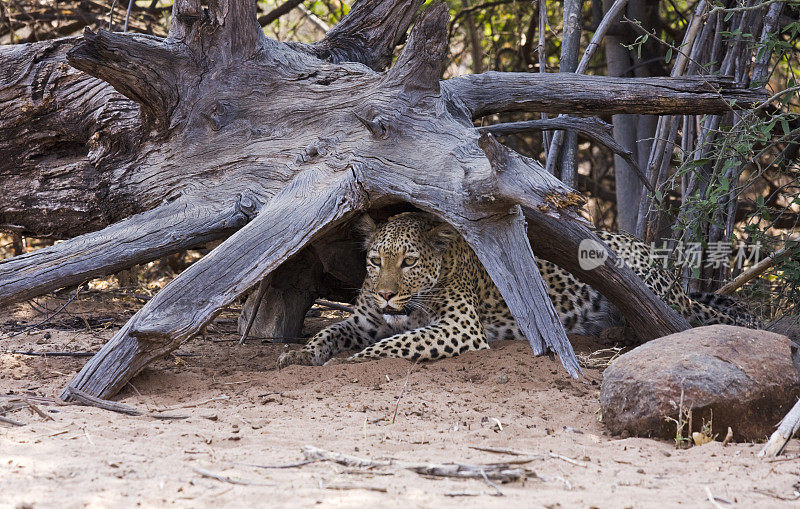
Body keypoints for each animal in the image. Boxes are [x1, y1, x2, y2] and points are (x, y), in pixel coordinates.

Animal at [278, 210, 752, 366]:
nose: (386, 294)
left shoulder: (459, 327)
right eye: (375, 262)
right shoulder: (362, 320)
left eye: (409, 262)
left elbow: (393, 344)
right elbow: (330, 330)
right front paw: (301, 354)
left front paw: (348, 361)